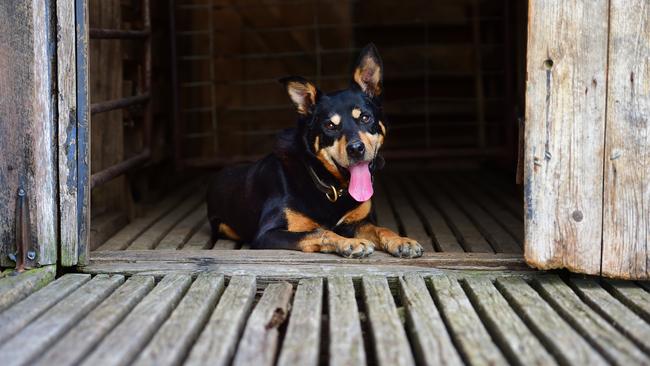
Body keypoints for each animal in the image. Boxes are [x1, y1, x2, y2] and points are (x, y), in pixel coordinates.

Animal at [205, 43, 422, 258]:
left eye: (365, 118)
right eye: (330, 126)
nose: (356, 149)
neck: (332, 187)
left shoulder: (358, 222)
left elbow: (380, 229)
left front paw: (402, 241)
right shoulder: (268, 233)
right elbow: (321, 231)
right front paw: (350, 243)